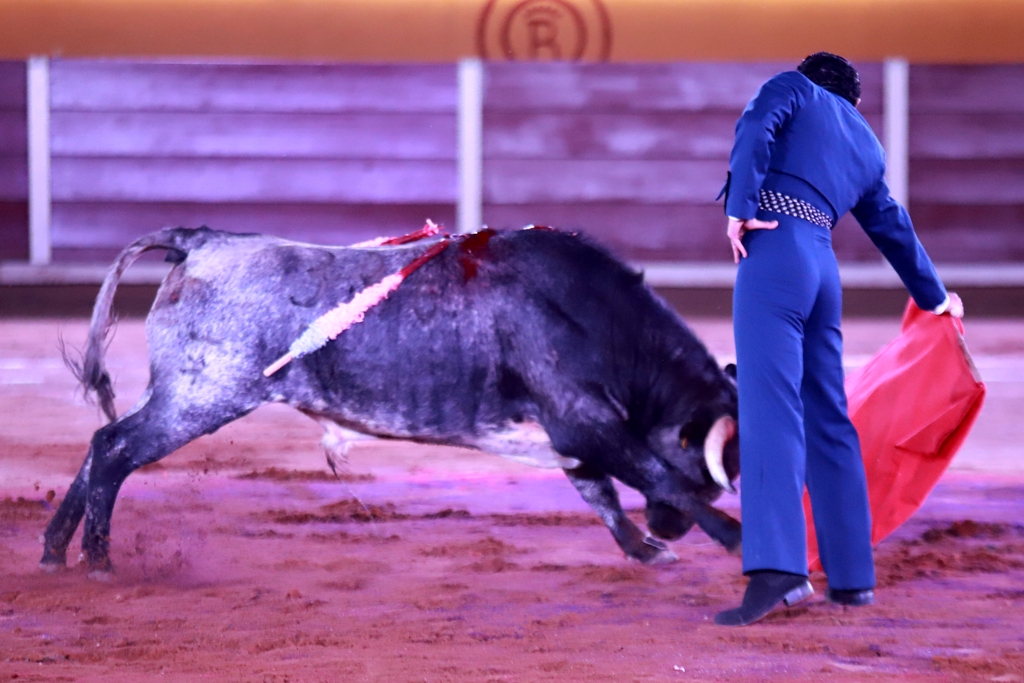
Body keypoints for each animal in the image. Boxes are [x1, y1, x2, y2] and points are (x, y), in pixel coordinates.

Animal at [41, 225, 745, 577]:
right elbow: (649, 473)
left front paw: (645, 549)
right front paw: (733, 541)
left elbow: (599, 493)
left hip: (180, 392)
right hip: (202, 395)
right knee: (116, 448)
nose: (668, 529)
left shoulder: (570, 434)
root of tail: (203, 241)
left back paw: (54, 552)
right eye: (714, 472)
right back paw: (98, 560)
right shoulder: (583, 421)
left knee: (100, 446)